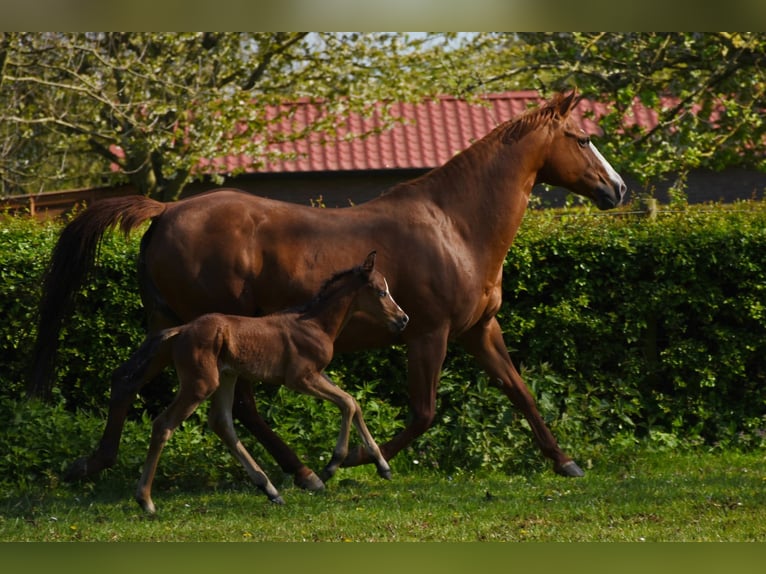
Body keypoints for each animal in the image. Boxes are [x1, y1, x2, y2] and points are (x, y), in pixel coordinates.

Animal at [119, 251, 408, 513]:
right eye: (381, 292)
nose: (403, 319)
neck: (316, 324)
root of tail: (180, 330)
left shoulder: (318, 373)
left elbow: (354, 403)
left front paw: (382, 466)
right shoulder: (300, 378)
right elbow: (347, 403)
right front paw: (331, 465)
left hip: (226, 377)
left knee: (222, 423)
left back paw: (270, 490)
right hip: (200, 384)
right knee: (163, 425)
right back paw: (145, 501)